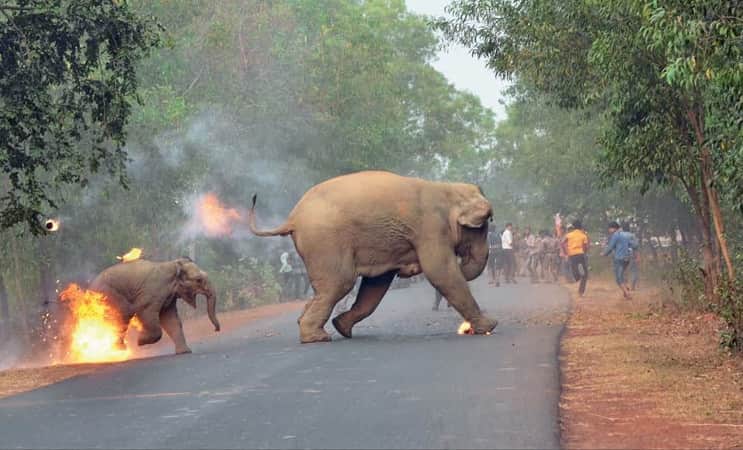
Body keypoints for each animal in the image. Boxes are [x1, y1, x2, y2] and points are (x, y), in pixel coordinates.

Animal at [87, 257, 220, 354]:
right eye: (198, 280)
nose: (216, 330)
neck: (173, 265)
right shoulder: (152, 291)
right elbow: (145, 312)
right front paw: (140, 341)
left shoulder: (169, 297)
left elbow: (171, 320)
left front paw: (185, 352)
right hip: (110, 295)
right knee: (121, 317)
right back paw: (119, 350)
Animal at [248, 170, 497, 343]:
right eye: (483, 227)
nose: (410, 270)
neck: (448, 189)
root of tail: (292, 218)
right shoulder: (431, 228)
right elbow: (441, 271)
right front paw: (490, 326)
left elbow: (376, 285)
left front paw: (342, 326)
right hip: (325, 242)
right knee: (340, 283)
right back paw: (317, 338)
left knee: (326, 289)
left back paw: (321, 329)